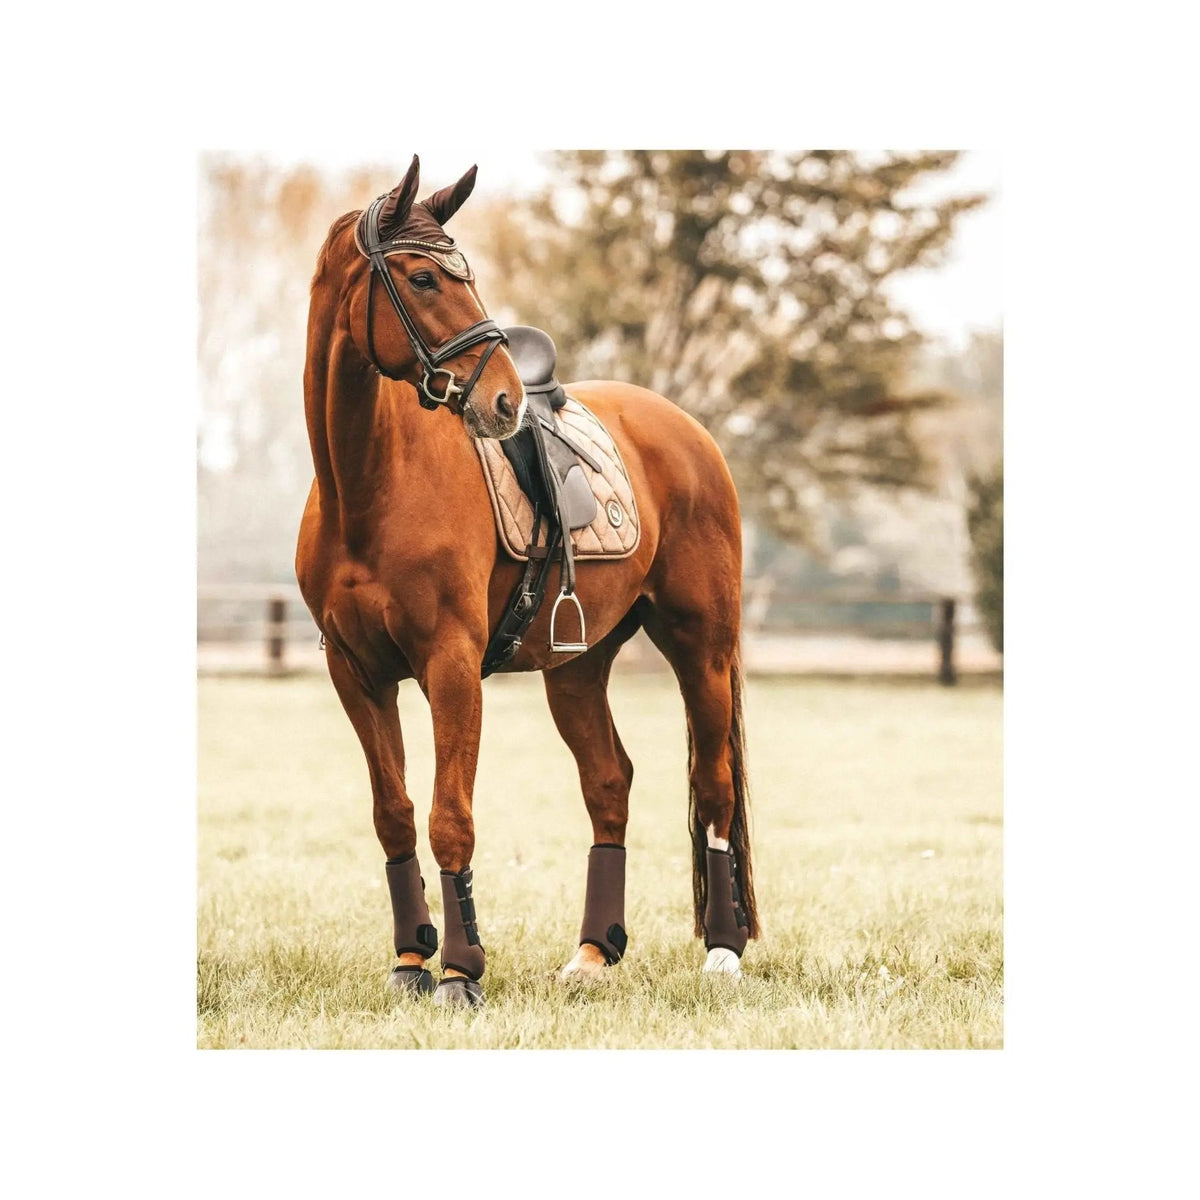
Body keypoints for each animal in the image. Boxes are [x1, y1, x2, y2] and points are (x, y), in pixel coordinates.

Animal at [296, 155, 759, 1007]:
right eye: (421, 277)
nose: (504, 400)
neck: (369, 485)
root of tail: (689, 433)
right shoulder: (356, 673)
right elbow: (394, 814)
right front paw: (410, 959)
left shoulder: (449, 666)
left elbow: (449, 815)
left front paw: (459, 970)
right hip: (576, 669)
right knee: (609, 784)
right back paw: (592, 952)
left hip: (703, 649)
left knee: (714, 789)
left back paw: (722, 951)